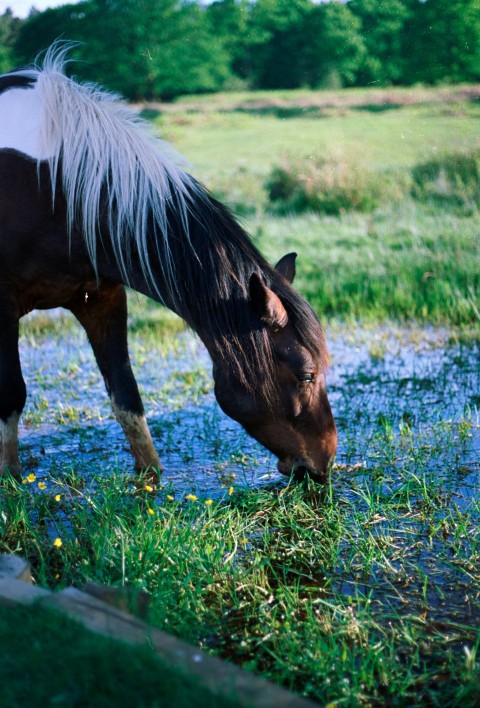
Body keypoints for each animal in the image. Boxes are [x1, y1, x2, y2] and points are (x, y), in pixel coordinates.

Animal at [0, 45, 338, 486]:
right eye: (306, 375)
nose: (323, 462)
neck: (56, 189)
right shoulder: (3, 306)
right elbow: (12, 393)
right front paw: (10, 478)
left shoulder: (101, 300)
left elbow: (126, 393)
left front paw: (150, 478)